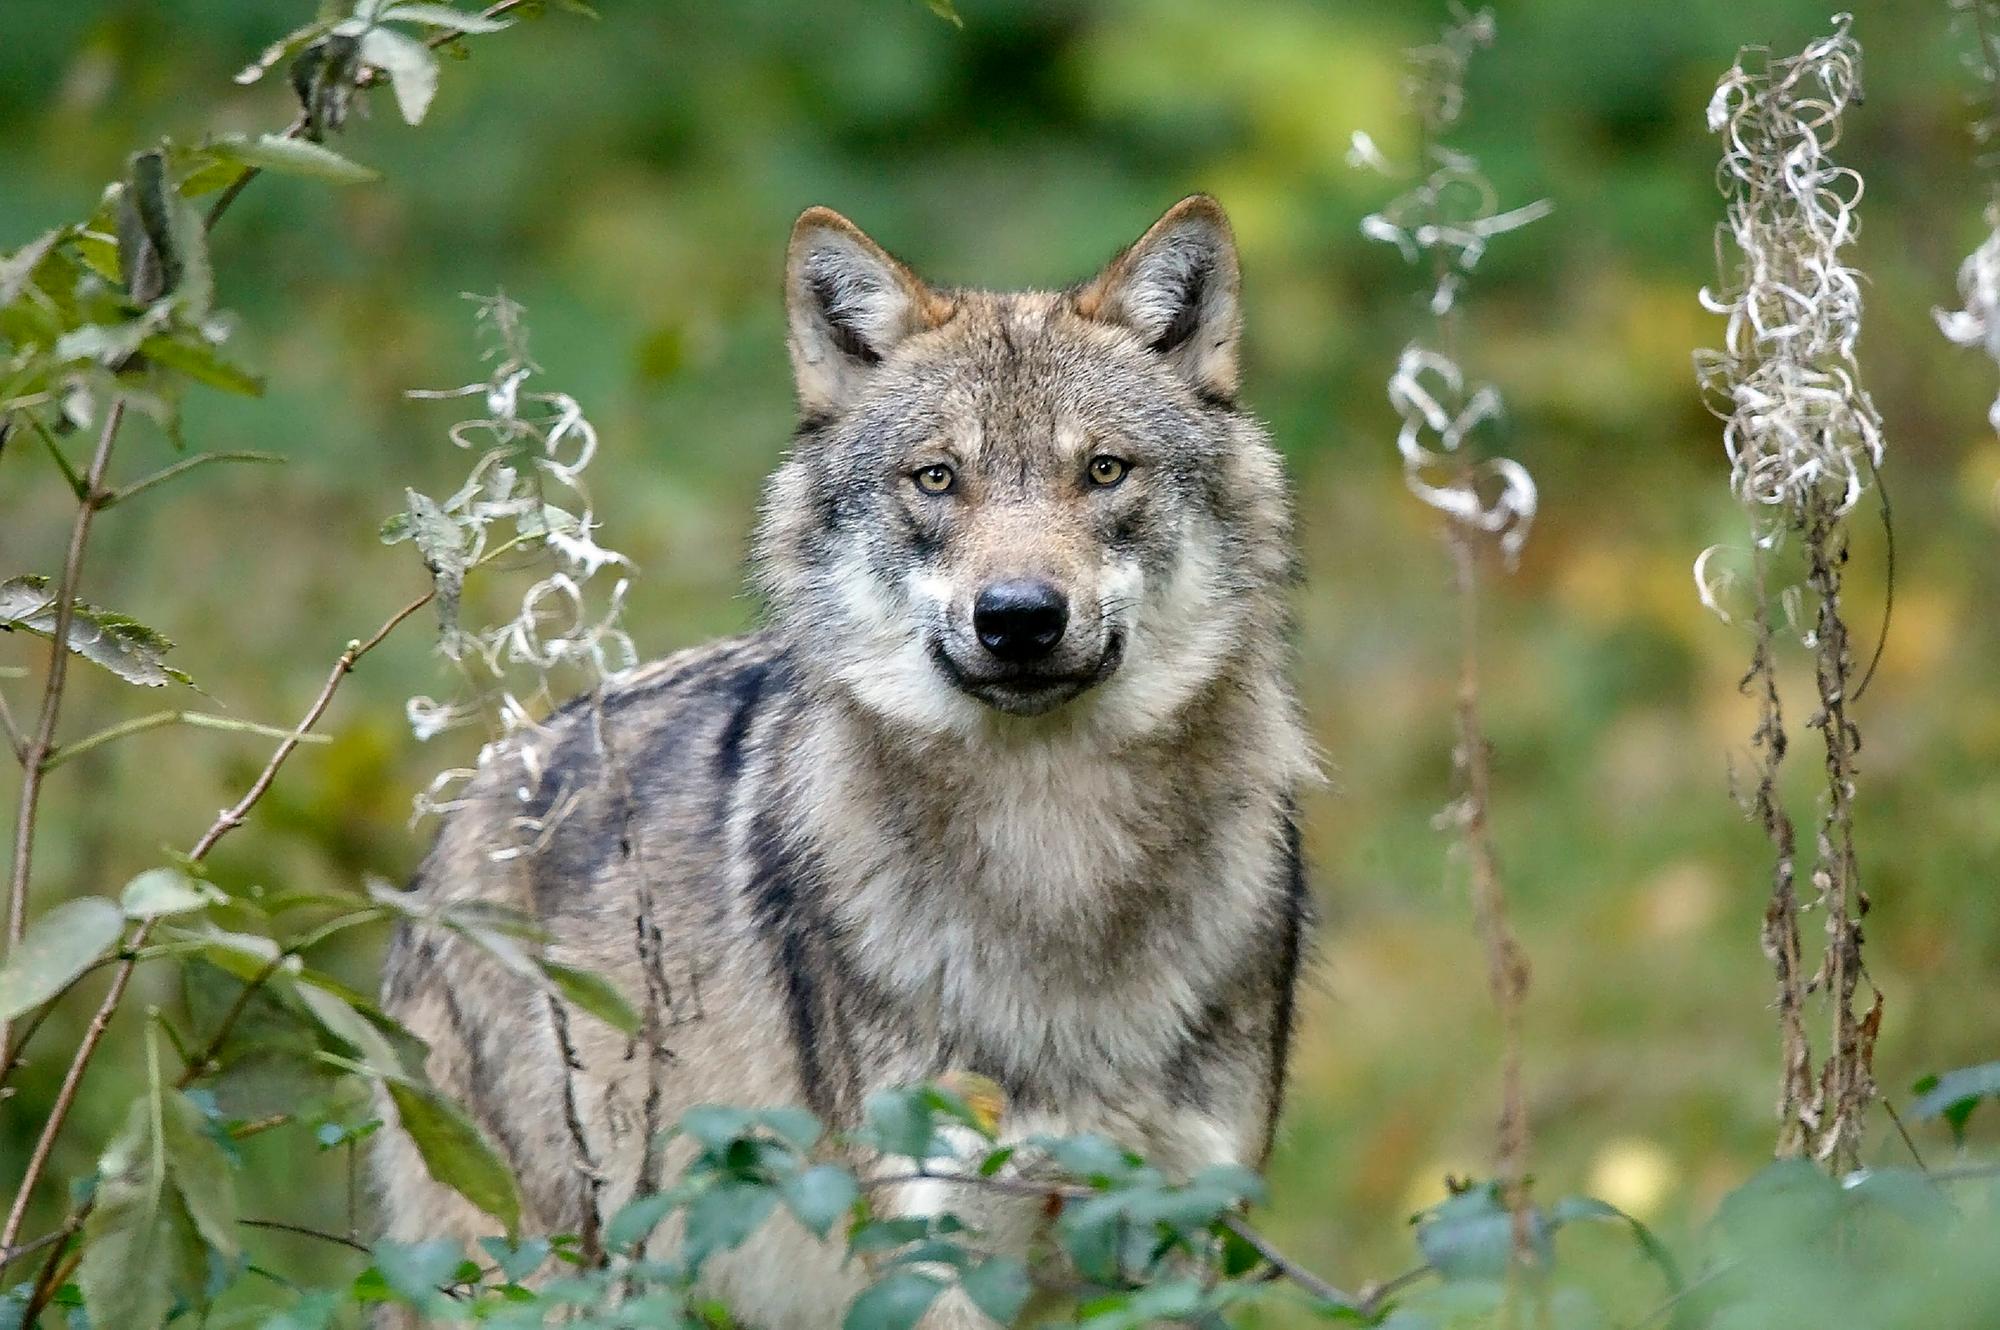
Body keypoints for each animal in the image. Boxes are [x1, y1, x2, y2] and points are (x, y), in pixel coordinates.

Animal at [372, 195, 1315, 1327]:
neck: (1053, 857)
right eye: (936, 478)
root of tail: (462, 816)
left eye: (1103, 470)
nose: (1018, 618)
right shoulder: (932, 1246)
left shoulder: (1183, 1239)